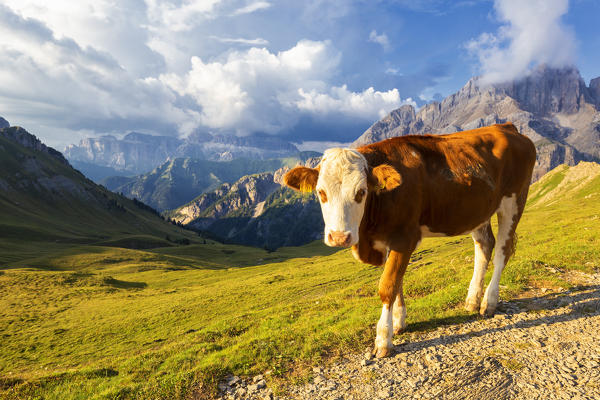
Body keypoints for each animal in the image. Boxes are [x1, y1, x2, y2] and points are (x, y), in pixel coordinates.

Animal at [284, 122, 536, 356]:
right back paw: (472, 300)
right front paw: (398, 321)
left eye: (361, 192)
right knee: (484, 246)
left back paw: (488, 302)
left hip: (515, 200)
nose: (339, 237)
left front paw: (383, 340)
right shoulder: (388, 241)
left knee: (502, 251)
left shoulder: (405, 237)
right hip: (477, 210)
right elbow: (398, 281)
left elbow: (388, 285)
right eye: (321, 192)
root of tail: (506, 127)